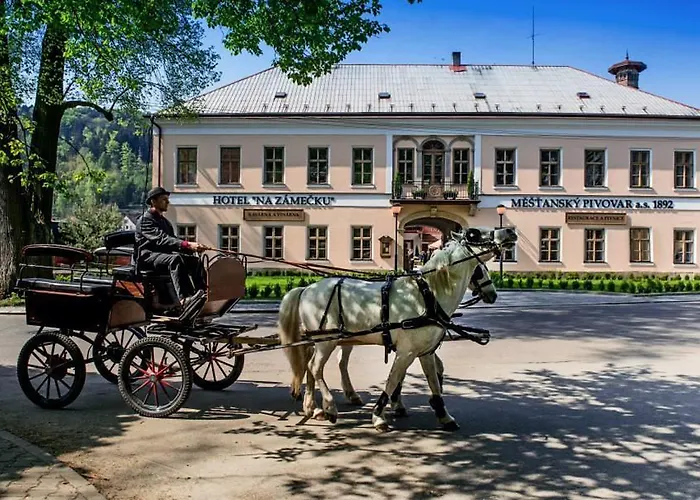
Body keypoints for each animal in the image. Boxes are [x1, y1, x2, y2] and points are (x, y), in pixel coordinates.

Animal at [276, 229, 516, 432]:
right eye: (474, 234)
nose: (510, 232)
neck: (426, 294)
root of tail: (306, 288)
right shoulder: (406, 351)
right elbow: (393, 380)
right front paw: (379, 415)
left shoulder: (425, 352)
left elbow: (433, 381)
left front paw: (443, 415)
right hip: (326, 340)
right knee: (315, 368)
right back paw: (329, 407)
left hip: (326, 340)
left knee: (315, 367)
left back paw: (313, 407)